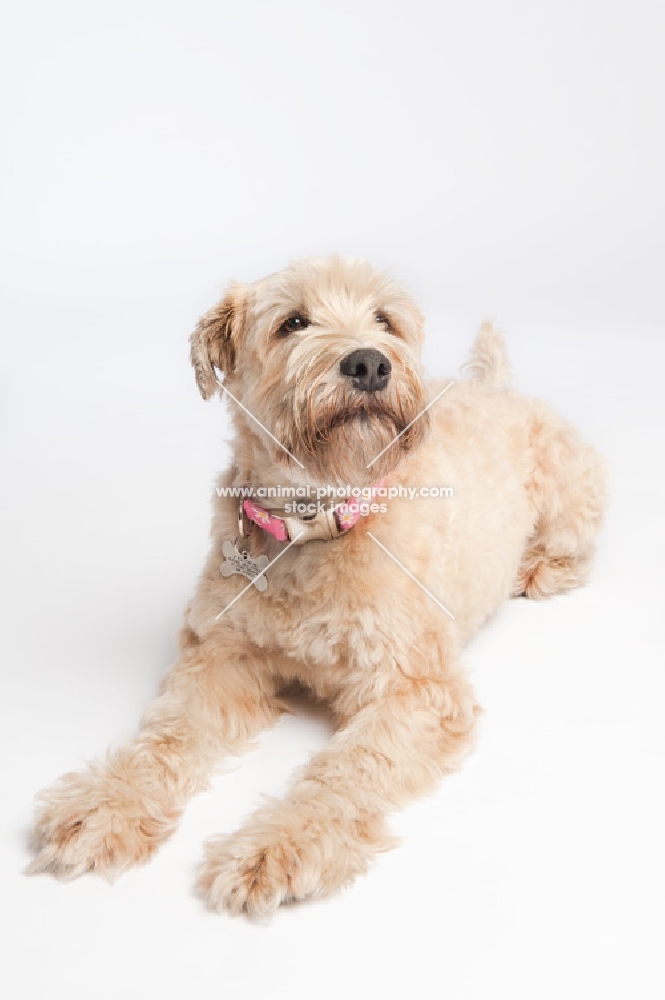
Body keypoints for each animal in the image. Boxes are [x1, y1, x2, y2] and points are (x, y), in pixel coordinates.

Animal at [28, 256, 604, 916]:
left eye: (385, 320)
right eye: (293, 322)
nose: (369, 363)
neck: (314, 523)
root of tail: (497, 387)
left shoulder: (417, 693)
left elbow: (350, 768)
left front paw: (276, 846)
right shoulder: (219, 657)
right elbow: (166, 734)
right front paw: (105, 804)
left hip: (567, 490)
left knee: (575, 538)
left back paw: (537, 568)